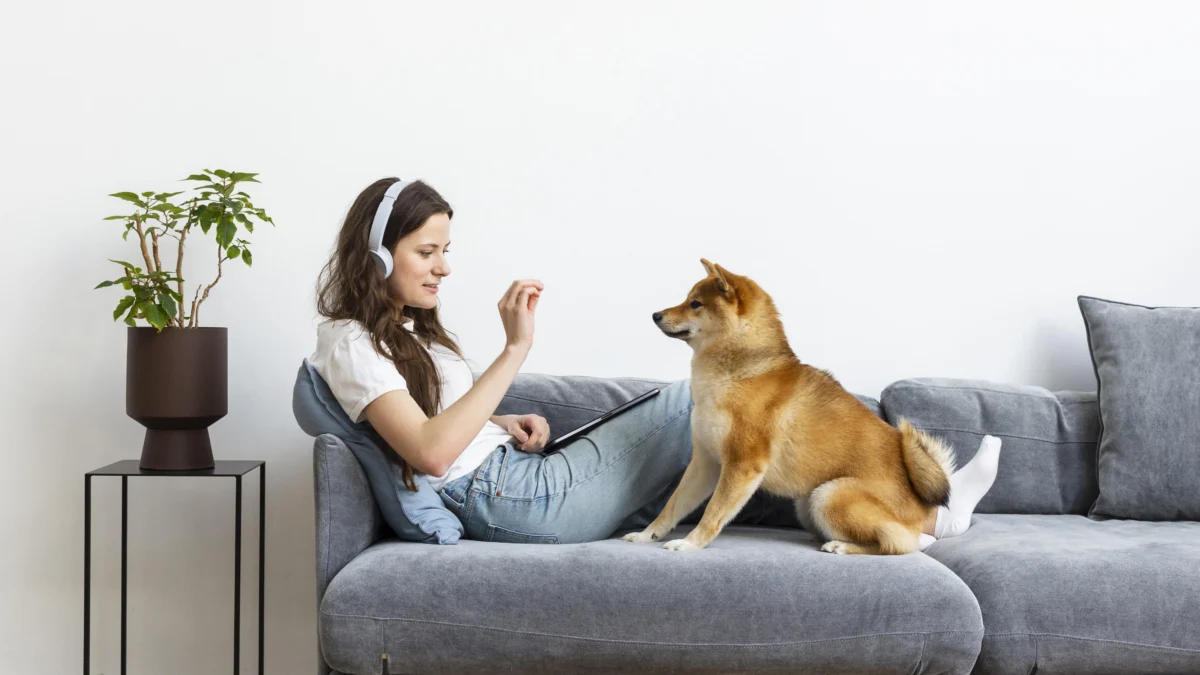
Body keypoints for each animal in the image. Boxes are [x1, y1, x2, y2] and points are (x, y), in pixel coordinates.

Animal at [624, 257, 950, 552]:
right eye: (687, 299)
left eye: (695, 304)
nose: (655, 315)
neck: (734, 372)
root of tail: (921, 505)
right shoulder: (706, 462)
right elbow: (671, 507)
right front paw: (647, 535)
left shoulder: (743, 464)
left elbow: (713, 512)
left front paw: (690, 543)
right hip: (807, 506)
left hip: (828, 496)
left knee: (897, 543)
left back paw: (841, 546)